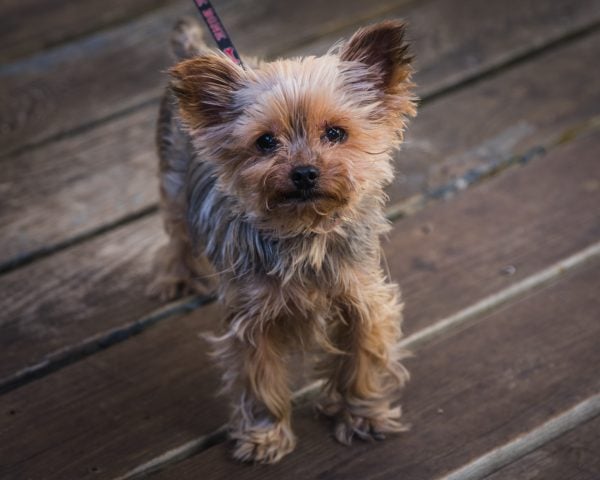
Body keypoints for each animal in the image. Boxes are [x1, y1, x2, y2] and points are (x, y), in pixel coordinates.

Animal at [149, 16, 418, 464]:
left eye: (335, 133)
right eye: (265, 142)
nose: (305, 172)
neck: (304, 231)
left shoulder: (362, 299)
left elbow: (361, 361)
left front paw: (362, 414)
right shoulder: (252, 320)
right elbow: (260, 379)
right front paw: (266, 434)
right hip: (173, 183)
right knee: (176, 235)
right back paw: (175, 276)